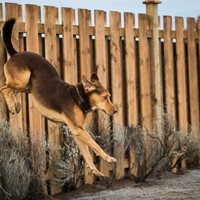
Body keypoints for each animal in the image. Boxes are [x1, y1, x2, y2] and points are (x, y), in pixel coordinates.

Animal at [0, 18, 118, 177]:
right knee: (4, 88)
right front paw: (108, 158)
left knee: (12, 90)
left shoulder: (77, 133)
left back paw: (16, 105)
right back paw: (12, 105)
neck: (78, 97)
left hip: (26, 86)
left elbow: (87, 153)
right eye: (106, 97)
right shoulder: (79, 130)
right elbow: (95, 145)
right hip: (22, 79)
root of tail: (15, 54)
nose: (115, 111)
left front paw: (95, 170)